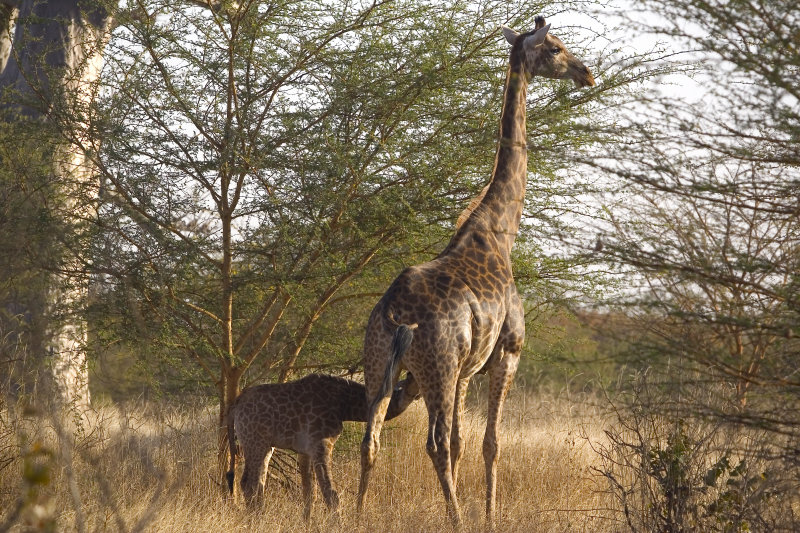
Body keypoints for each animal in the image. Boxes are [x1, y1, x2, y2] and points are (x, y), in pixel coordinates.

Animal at [227, 372, 418, 516]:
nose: (419, 394)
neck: (344, 404)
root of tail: (236, 404)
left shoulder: (305, 450)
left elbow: (309, 493)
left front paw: (307, 523)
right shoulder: (321, 444)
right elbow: (330, 493)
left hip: (265, 445)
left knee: (256, 482)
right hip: (254, 441)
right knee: (250, 483)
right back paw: (256, 518)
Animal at [356, 17, 592, 528]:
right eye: (556, 48)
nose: (586, 73)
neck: (501, 230)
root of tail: (397, 313)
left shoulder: (467, 370)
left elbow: (466, 443)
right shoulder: (508, 351)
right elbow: (490, 443)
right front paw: (489, 517)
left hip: (380, 363)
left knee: (371, 440)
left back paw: (351, 516)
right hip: (437, 369)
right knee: (434, 445)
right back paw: (458, 520)